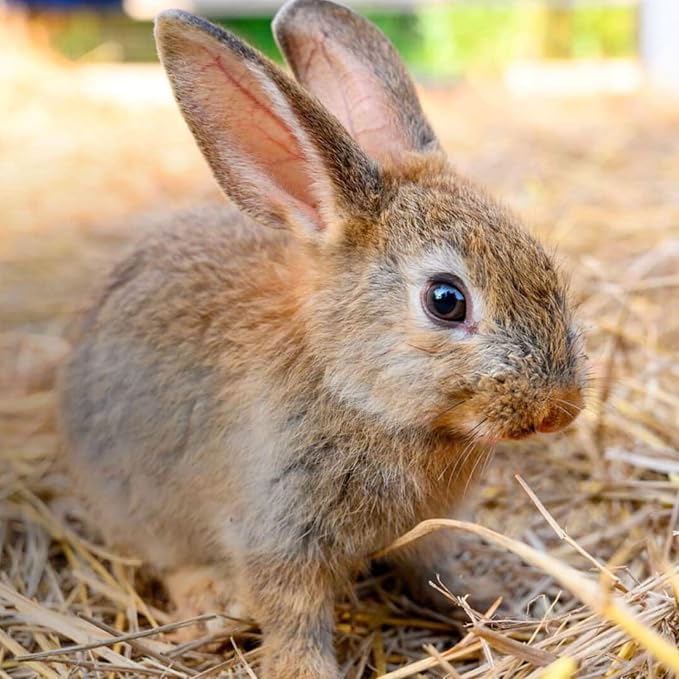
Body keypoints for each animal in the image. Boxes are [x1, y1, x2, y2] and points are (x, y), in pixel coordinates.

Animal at [58, 1, 587, 676]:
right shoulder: (277, 534)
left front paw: (495, 602)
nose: (559, 409)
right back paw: (210, 606)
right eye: (446, 300)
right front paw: (303, 669)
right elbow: (293, 617)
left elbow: (435, 572)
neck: (358, 394)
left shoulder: (428, 528)